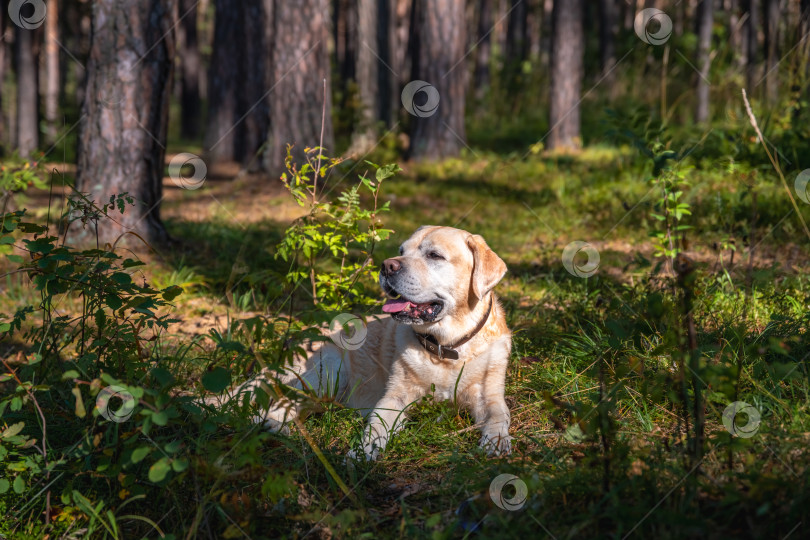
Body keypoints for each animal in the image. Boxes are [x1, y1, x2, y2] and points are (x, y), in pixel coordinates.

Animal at [221, 226, 512, 458]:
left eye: (434, 255)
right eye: (401, 250)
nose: (387, 266)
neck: (444, 347)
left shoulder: (488, 394)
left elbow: (499, 414)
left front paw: (496, 441)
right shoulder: (394, 398)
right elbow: (376, 426)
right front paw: (362, 453)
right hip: (326, 370)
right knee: (280, 401)